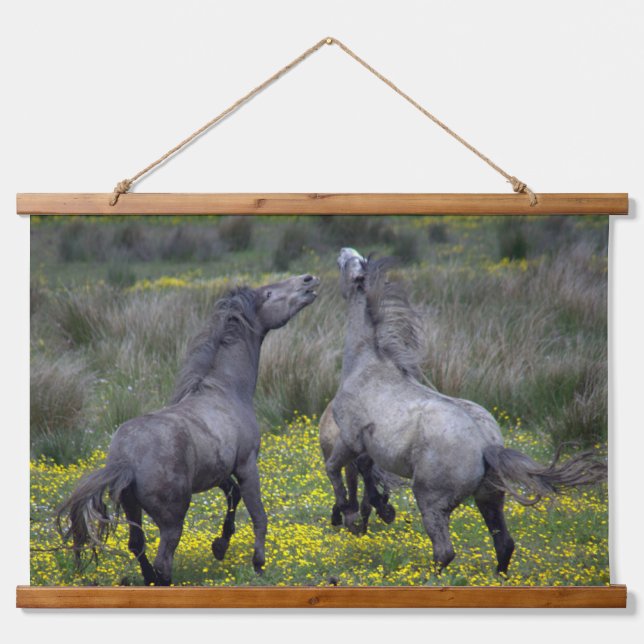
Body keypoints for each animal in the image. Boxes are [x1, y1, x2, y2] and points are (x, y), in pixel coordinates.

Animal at [57, 273, 320, 585]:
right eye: (268, 293)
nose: (308, 280)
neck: (225, 390)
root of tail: (126, 459)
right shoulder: (247, 465)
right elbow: (258, 515)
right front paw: (258, 563)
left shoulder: (218, 472)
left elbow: (233, 495)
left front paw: (219, 547)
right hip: (172, 518)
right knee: (163, 560)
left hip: (133, 509)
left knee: (137, 545)